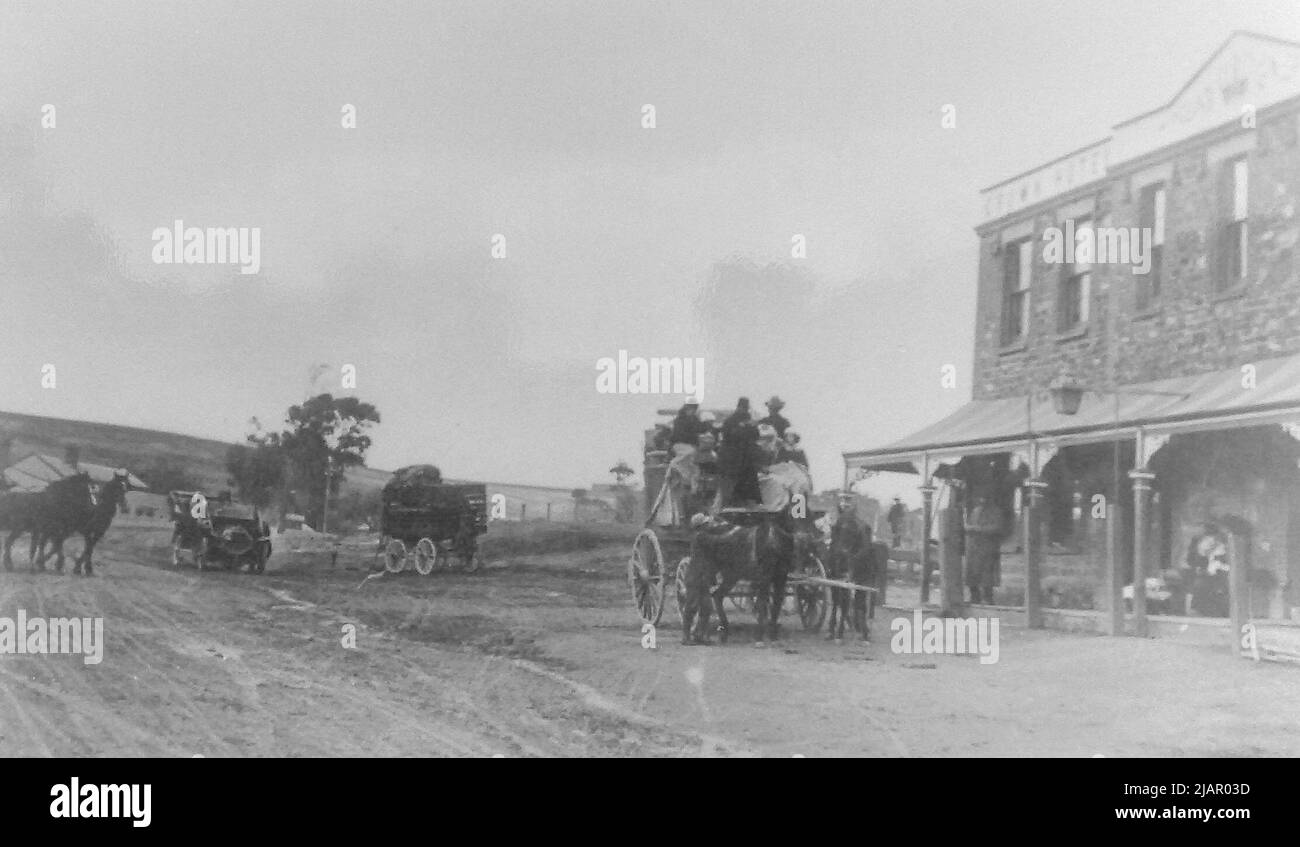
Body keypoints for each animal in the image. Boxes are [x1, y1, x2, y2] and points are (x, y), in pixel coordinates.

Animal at [681, 506, 800, 644]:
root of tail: (699, 533)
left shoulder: (781, 578)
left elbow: (776, 605)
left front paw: (773, 636)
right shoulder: (764, 578)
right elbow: (762, 606)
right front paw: (759, 637)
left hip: (731, 576)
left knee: (715, 596)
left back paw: (720, 632)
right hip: (706, 570)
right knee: (697, 598)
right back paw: (693, 636)